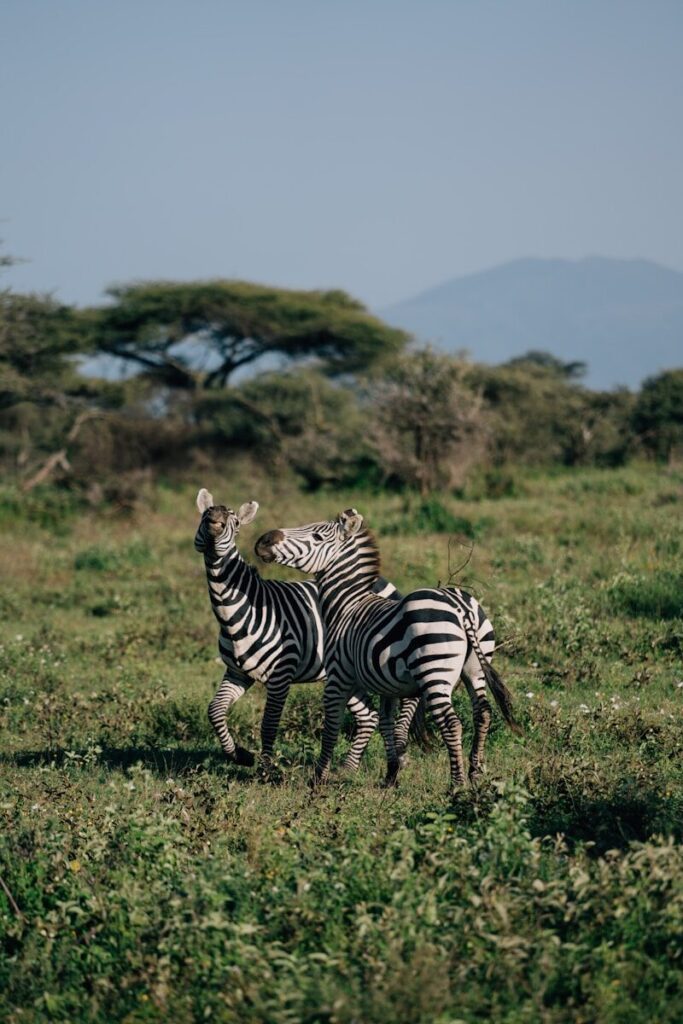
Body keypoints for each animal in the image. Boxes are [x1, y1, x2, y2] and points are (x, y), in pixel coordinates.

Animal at [194, 488, 417, 768]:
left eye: (234, 522)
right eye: (205, 515)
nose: (215, 520)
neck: (236, 611)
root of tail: (383, 583)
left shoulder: (281, 676)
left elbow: (269, 725)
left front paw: (266, 770)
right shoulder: (237, 672)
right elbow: (214, 710)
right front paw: (240, 755)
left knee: (405, 701)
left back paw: (401, 754)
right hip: (347, 672)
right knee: (369, 716)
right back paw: (348, 768)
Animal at [255, 509, 521, 792]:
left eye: (316, 536)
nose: (263, 540)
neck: (346, 605)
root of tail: (458, 604)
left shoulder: (337, 677)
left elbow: (331, 728)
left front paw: (318, 779)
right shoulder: (388, 686)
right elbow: (386, 725)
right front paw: (391, 775)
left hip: (434, 671)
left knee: (452, 724)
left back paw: (456, 785)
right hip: (475, 667)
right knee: (483, 713)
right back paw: (475, 773)